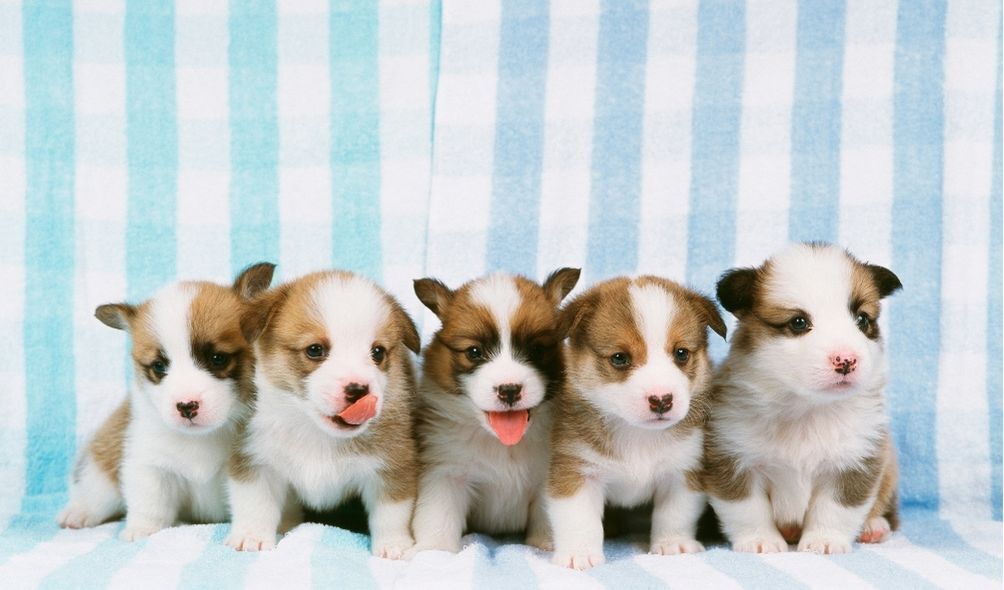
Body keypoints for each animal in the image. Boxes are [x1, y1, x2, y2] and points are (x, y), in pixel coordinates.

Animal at [56, 262, 277, 537]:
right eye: (159, 366)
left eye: (218, 358)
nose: (186, 406)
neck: (201, 439)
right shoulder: (149, 465)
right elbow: (150, 503)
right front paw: (142, 531)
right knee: (96, 487)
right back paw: (79, 512)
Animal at [224, 272, 419, 557]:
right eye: (315, 350)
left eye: (378, 352)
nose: (358, 389)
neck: (315, 431)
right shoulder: (255, 459)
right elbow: (255, 503)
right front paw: (251, 537)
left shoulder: (391, 467)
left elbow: (391, 513)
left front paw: (394, 545)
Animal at [407, 266, 582, 553]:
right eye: (474, 352)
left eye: (537, 349)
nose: (509, 390)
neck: (502, 443)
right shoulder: (446, 475)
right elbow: (438, 519)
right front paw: (434, 551)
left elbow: (547, 519)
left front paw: (544, 546)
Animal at [546, 278, 726, 569]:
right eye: (620, 358)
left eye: (681, 353)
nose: (662, 400)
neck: (637, 434)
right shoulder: (577, 472)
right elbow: (579, 519)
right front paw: (580, 554)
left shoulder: (682, 472)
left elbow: (674, 514)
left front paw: (672, 545)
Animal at [702, 242, 907, 553]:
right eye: (799, 322)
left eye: (862, 319)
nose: (846, 360)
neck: (806, 408)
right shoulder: (734, 459)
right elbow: (748, 509)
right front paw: (761, 540)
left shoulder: (854, 460)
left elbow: (835, 508)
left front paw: (824, 541)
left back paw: (874, 527)